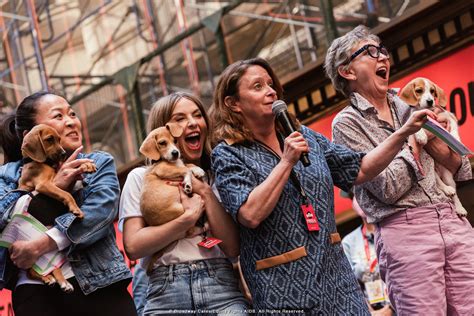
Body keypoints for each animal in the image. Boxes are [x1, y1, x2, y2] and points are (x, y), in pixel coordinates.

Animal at [18, 124, 96, 292]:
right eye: (49, 139)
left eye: (59, 139)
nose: (64, 153)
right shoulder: (45, 184)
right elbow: (66, 194)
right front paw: (75, 209)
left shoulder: (62, 175)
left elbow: (72, 169)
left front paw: (86, 165)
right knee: (30, 272)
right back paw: (49, 279)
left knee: (52, 268)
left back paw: (60, 281)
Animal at [137, 123, 204, 272]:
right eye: (162, 143)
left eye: (175, 140)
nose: (176, 153)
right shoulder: (164, 170)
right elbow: (185, 169)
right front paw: (188, 184)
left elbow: (187, 165)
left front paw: (197, 169)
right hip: (181, 212)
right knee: (190, 231)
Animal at [400, 78, 466, 217]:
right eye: (419, 91)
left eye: (432, 91)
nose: (430, 101)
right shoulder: (412, 121)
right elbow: (414, 129)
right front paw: (421, 135)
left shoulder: (448, 116)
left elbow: (453, 128)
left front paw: (455, 139)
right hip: (432, 172)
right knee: (440, 185)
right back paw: (447, 190)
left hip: (448, 176)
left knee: (454, 194)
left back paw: (459, 208)